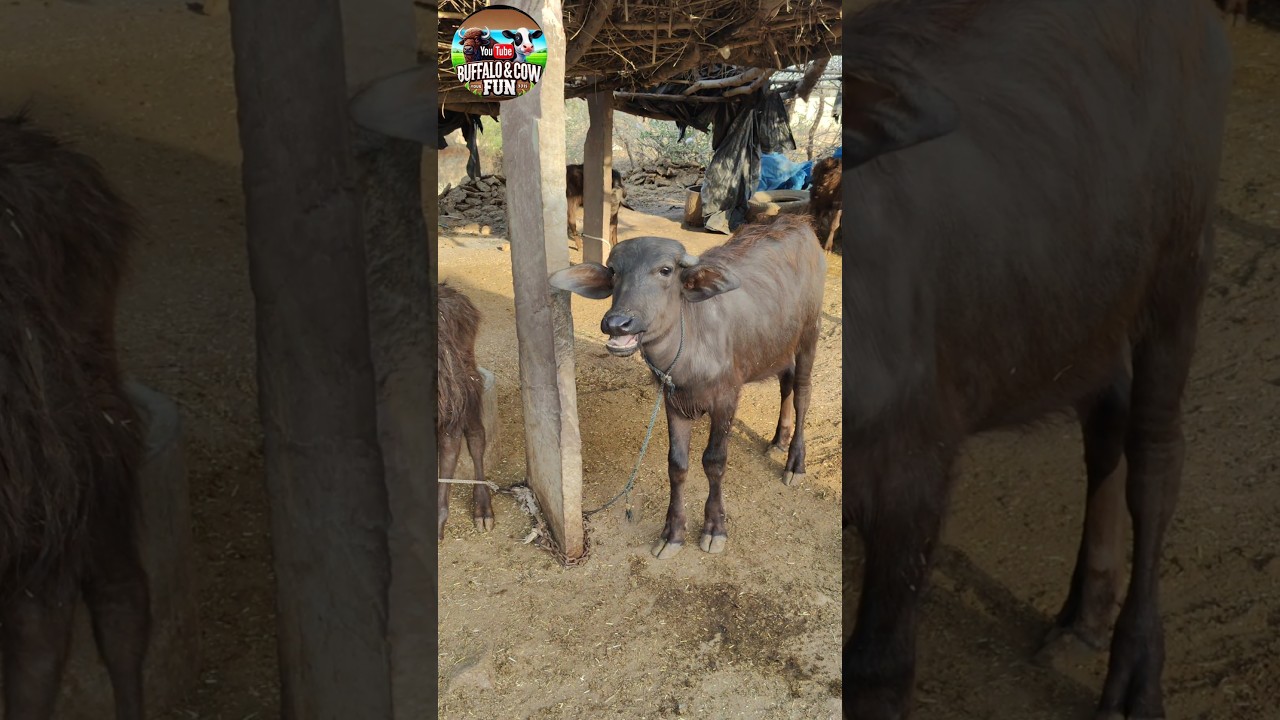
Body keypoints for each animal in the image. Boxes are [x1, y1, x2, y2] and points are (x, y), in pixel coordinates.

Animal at [549, 215, 826, 559]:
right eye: (613, 271)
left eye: (665, 270)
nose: (617, 323)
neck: (691, 343)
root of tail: (799, 222)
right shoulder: (674, 403)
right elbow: (677, 465)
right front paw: (672, 533)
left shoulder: (726, 401)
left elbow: (714, 462)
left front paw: (714, 528)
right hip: (778, 345)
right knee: (786, 382)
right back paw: (778, 441)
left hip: (810, 334)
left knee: (802, 391)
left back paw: (795, 462)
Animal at [840, 0, 1232, 719]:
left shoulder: (915, 469)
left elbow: (878, 670)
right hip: (1083, 299)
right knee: (1109, 418)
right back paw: (1086, 611)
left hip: (1182, 266)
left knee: (1157, 456)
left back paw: (1135, 675)